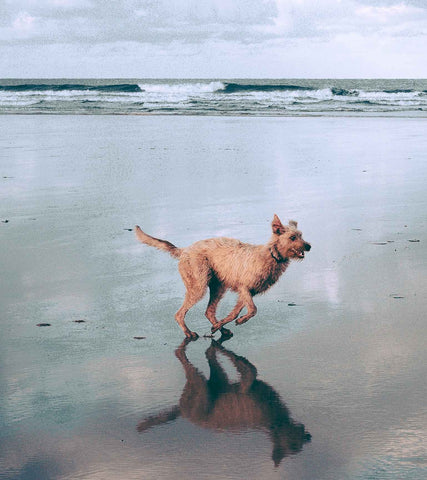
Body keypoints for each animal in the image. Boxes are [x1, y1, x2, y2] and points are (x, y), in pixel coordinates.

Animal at [135, 214, 310, 338]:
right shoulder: (244, 288)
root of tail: (184, 250)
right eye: (292, 237)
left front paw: (222, 325)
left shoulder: (247, 293)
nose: (308, 246)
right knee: (179, 314)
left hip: (218, 287)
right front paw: (240, 321)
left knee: (209, 311)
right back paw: (188, 333)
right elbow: (253, 310)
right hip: (198, 287)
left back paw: (221, 329)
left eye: (301, 235)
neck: (271, 255)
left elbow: (235, 313)